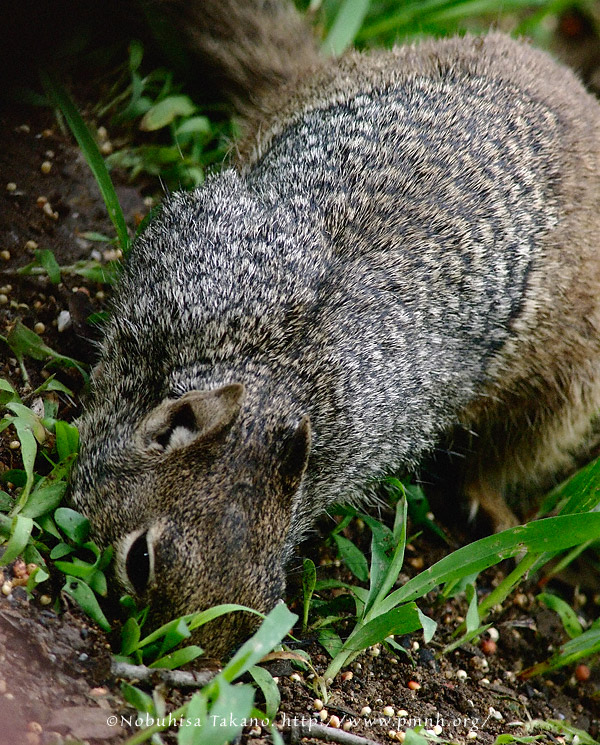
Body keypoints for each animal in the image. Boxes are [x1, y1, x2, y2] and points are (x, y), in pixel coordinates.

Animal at [68, 0, 600, 652]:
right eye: (140, 561)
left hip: (565, 393)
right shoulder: (167, 282)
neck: (277, 368)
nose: (175, 658)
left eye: (269, 599)